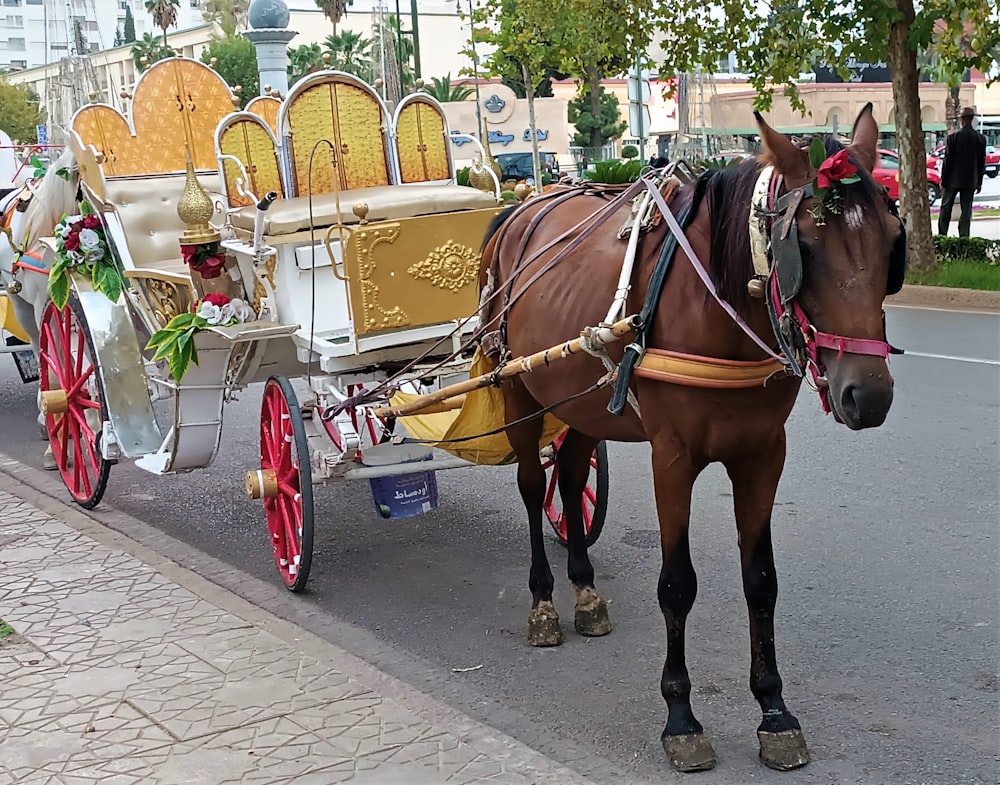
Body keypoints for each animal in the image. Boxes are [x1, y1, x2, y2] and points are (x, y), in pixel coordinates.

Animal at [480, 105, 904, 772]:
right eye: (804, 246)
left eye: (891, 241)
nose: (869, 394)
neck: (717, 307)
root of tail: (523, 209)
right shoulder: (672, 459)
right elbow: (677, 586)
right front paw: (680, 717)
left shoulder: (762, 455)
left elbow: (762, 582)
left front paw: (774, 710)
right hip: (521, 390)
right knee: (529, 487)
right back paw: (544, 600)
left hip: (584, 403)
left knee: (570, 476)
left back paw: (585, 592)